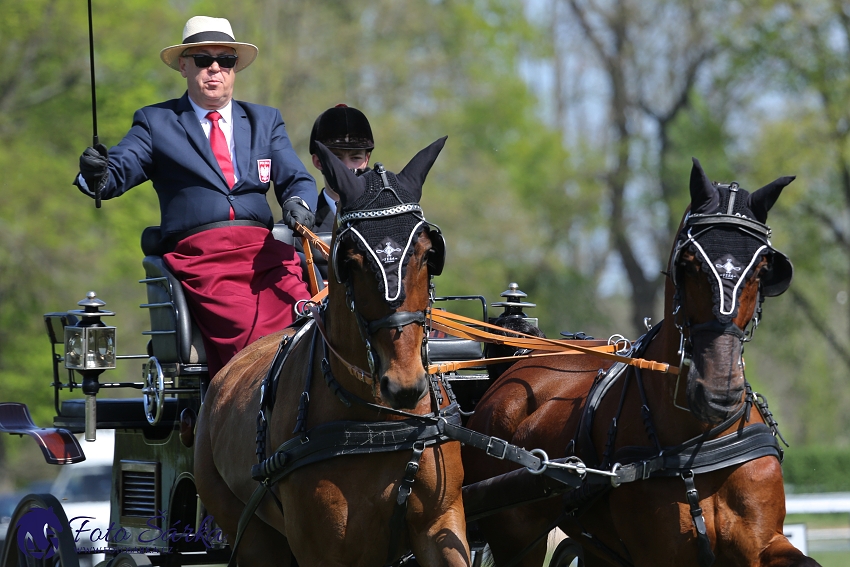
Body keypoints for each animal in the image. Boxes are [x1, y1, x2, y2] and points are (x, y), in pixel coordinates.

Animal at [194, 138, 470, 567]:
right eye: (351, 261)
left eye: (429, 254)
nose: (404, 383)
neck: (380, 421)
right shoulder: (325, 549)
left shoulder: (440, 523)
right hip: (254, 537)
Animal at [460, 159, 820, 567]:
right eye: (689, 264)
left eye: (762, 269)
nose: (716, 390)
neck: (697, 441)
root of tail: (517, 364)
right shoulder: (661, 554)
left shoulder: (759, 542)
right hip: (518, 538)